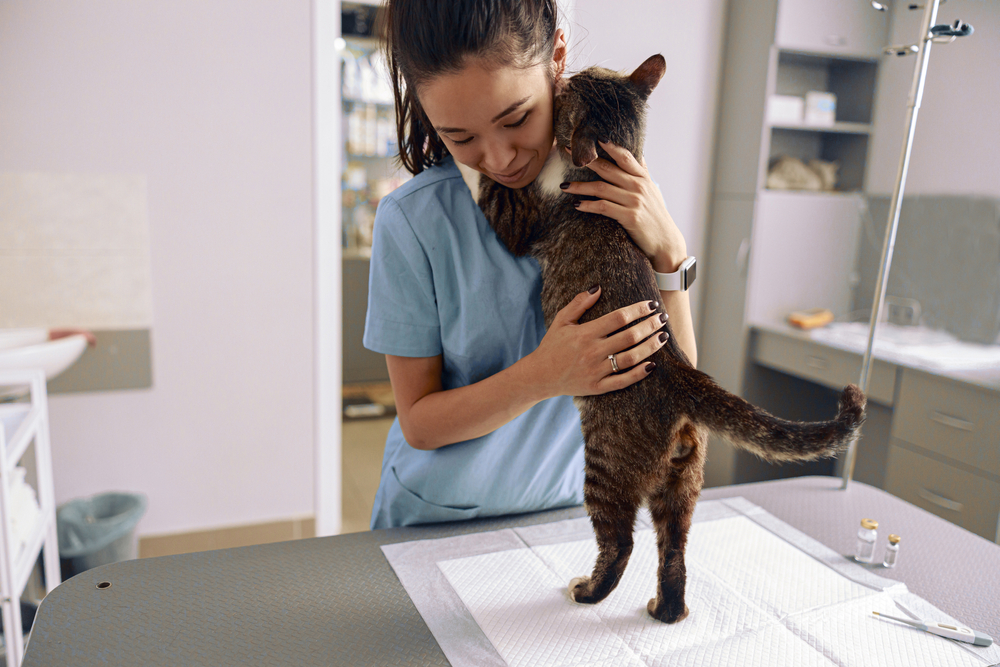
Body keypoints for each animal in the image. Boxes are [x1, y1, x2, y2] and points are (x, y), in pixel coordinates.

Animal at [472, 54, 864, 624]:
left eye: (572, 90)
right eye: (590, 73)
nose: (565, 76)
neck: (604, 166)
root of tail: (681, 371)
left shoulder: (524, 222)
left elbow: (497, 194)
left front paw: (471, 159)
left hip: (606, 467)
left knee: (622, 544)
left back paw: (589, 591)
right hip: (683, 482)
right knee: (674, 548)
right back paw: (667, 609)